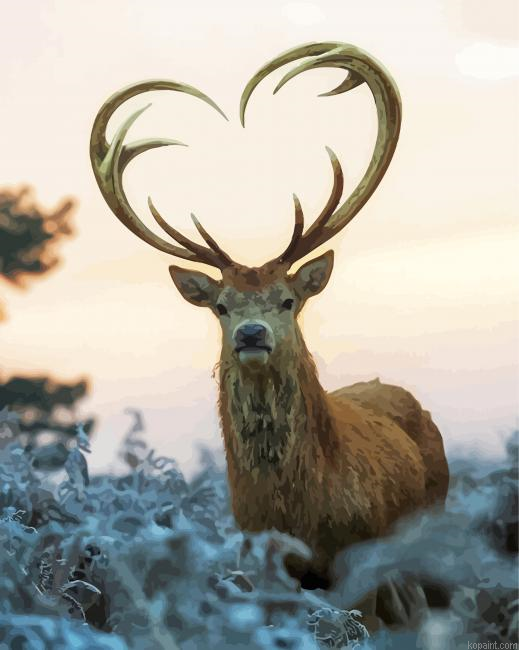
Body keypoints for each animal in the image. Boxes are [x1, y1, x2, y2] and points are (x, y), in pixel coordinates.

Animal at [90, 42, 449, 608]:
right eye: (221, 306)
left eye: (287, 300)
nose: (251, 334)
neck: (300, 517)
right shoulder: (260, 566)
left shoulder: (358, 566)